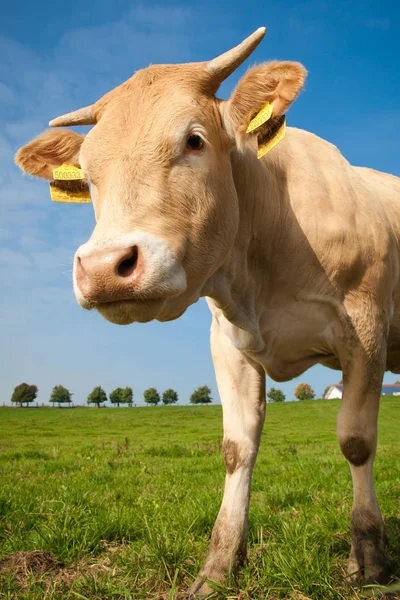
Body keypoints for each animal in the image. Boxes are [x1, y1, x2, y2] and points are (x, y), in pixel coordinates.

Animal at [14, 27, 396, 596]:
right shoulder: (229, 346)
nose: (104, 267)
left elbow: (356, 440)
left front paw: (370, 557)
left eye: (195, 140)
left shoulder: (365, 332)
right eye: (86, 174)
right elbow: (237, 449)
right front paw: (218, 567)